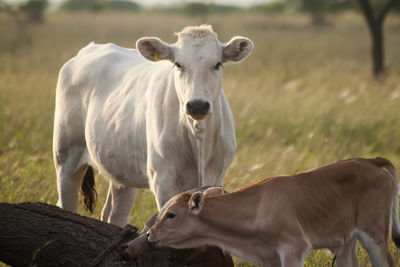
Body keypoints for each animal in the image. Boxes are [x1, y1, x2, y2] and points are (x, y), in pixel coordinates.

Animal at [52, 25, 253, 227]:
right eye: (178, 64)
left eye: (218, 64)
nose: (197, 105)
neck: (198, 138)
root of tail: (90, 49)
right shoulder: (162, 178)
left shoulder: (216, 175)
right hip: (66, 156)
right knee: (66, 203)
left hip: (121, 169)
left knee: (114, 214)